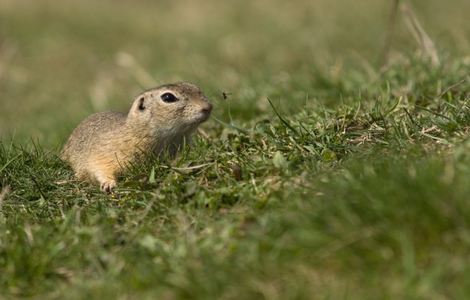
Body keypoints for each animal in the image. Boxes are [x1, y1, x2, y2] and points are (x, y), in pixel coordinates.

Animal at [61, 81, 213, 192]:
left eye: (196, 88)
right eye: (168, 97)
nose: (208, 107)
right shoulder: (106, 151)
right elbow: (101, 167)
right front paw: (109, 184)